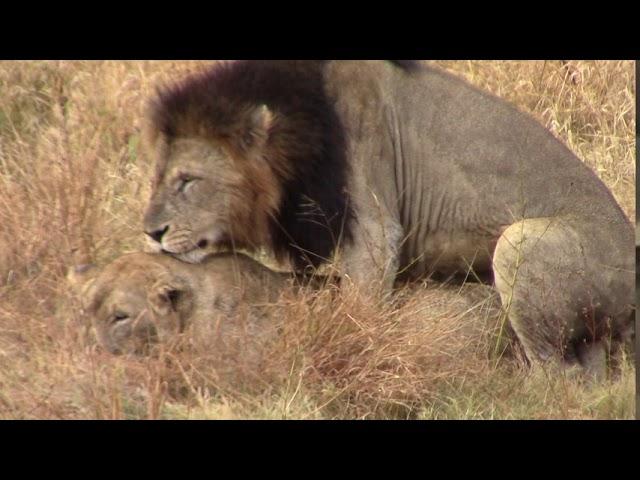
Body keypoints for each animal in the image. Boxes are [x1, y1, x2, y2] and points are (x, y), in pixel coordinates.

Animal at [142, 61, 632, 376]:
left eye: (188, 180)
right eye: (158, 177)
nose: (151, 232)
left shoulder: (375, 227)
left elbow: (359, 311)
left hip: (519, 243)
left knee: (560, 374)